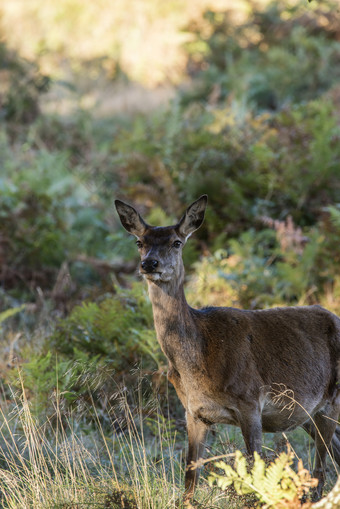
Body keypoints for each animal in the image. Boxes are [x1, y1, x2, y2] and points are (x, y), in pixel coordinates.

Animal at [115, 195, 340, 504]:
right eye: (139, 241)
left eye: (176, 242)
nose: (150, 263)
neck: (197, 362)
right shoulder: (193, 411)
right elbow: (190, 477)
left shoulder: (250, 401)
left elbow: (256, 472)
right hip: (309, 412)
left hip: (332, 398)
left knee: (321, 468)